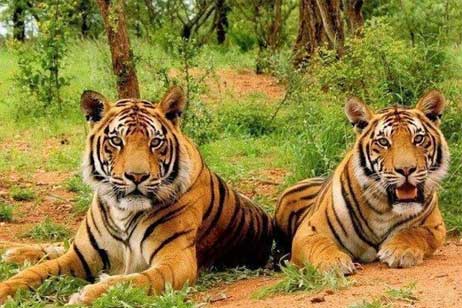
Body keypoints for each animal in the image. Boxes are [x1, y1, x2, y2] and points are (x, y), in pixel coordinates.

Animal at [0, 86, 274, 304]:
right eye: (116, 141)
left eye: (155, 142)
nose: (137, 176)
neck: (123, 211)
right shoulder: (81, 256)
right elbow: (32, 274)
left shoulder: (176, 261)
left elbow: (133, 281)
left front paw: (88, 294)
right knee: (60, 245)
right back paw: (14, 252)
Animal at [274, 89, 448, 274]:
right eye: (383, 142)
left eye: (418, 139)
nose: (406, 169)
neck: (383, 208)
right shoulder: (309, 230)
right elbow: (320, 244)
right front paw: (333, 262)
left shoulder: (435, 226)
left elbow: (414, 232)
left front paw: (400, 250)